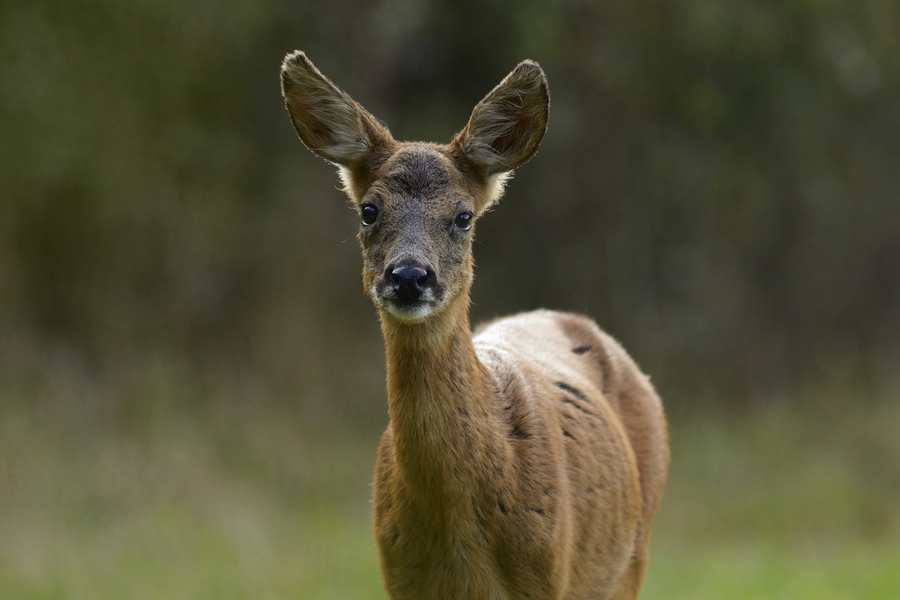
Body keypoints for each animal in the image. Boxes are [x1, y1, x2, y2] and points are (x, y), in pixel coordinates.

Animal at [282, 52, 668, 600]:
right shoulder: (401, 577)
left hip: (630, 558)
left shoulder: (548, 575)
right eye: (369, 210)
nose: (409, 276)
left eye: (463, 216)